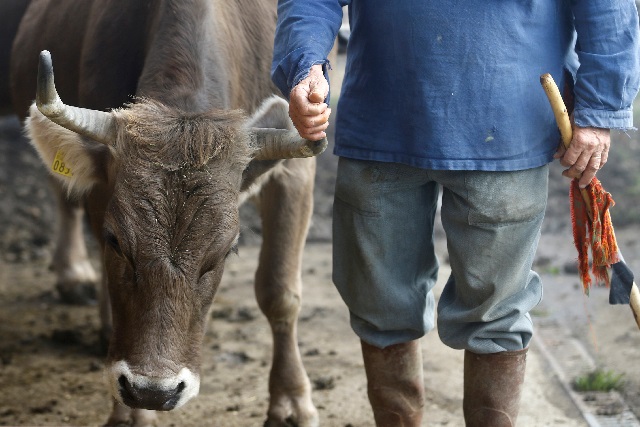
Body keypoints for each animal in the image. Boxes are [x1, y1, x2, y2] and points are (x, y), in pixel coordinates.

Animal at [11, 1, 324, 426]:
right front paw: (130, 413)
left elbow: (280, 292)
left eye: (226, 252)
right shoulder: (102, 189)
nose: (152, 391)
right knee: (63, 195)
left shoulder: (293, 172)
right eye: (115, 240)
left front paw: (290, 402)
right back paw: (74, 274)